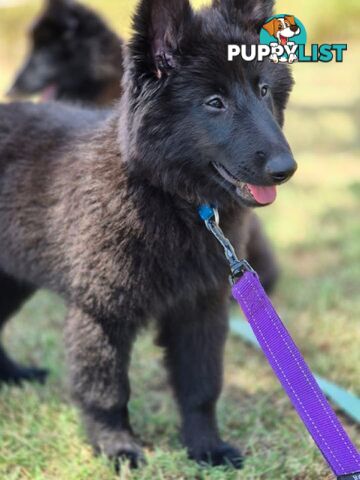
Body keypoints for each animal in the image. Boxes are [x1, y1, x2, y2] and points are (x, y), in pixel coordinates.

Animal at [0, 0, 296, 470]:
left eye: (263, 89)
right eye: (214, 102)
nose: (286, 169)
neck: (170, 197)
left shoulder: (200, 308)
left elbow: (200, 386)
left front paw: (206, 447)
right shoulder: (101, 311)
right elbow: (107, 391)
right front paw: (117, 447)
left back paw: (14, 375)